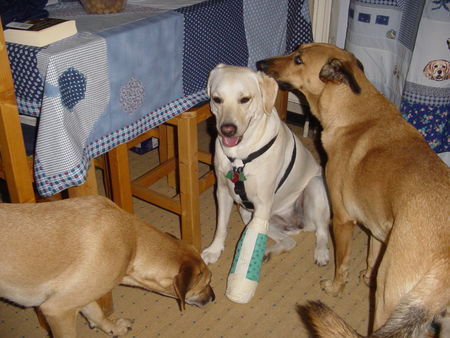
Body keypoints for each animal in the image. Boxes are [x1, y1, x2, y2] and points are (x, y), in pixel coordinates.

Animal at [0, 195, 214, 338]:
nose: (213, 297)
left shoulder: (78, 294)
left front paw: (112, 327)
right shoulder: (58, 310)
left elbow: (95, 311)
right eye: (205, 284)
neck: (132, 242)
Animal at [256, 43, 450, 336]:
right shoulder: (377, 228)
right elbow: (371, 258)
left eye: (298, 59)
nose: (260, 64)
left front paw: (335, 287)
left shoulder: (342, 220)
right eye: (296, 50)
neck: (355, 113)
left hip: (389, 296)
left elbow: (342, 263)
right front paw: (365, 277)